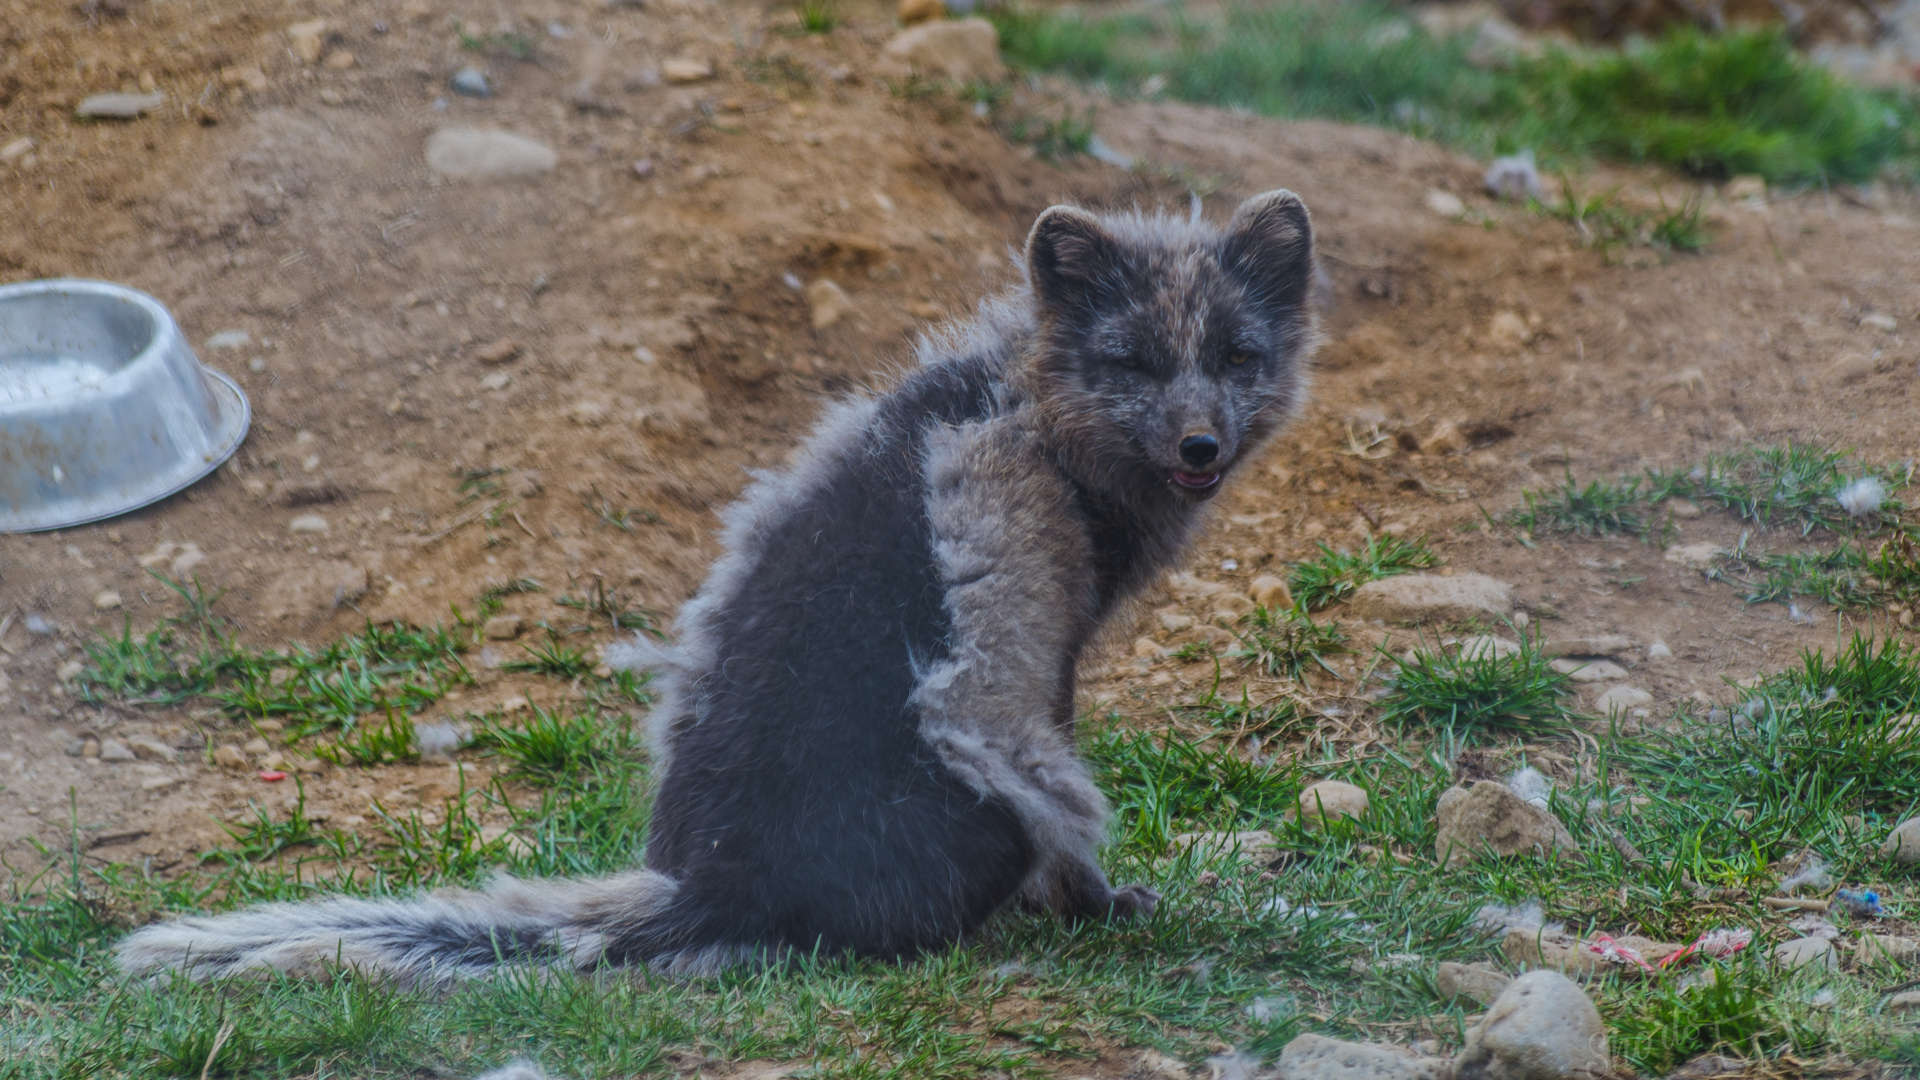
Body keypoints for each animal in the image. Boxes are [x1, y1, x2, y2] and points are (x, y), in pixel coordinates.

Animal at [116, 189, 1320, 980]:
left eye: (1238, 353)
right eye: (1133, 362)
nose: (1203, 445)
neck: (1023, 406)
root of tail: (714, 884)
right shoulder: (1019, 654)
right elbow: (1058, 793)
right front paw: (1100, 906)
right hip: (970, 814)